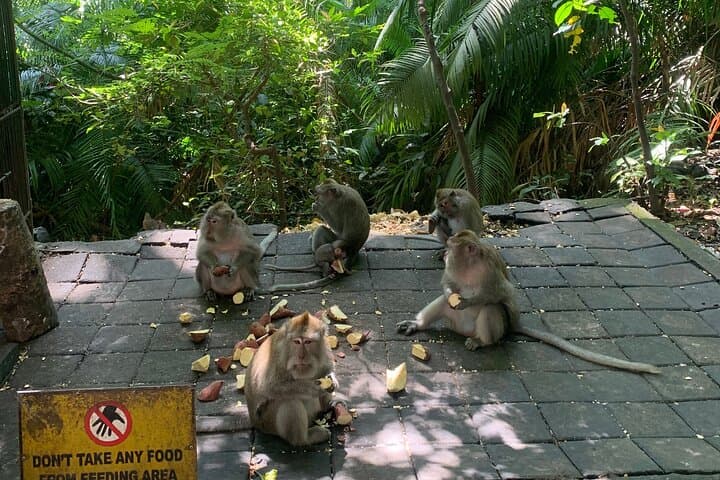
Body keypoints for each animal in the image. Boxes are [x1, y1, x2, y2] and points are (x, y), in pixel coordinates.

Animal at [245, 311, 337, 446]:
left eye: (308, 342)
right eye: (297, 341)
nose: (301, 356)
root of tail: (255, 424)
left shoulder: (324, 347)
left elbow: (327, 368)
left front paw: (332, 380)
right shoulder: (279, 356)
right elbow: (268, 387)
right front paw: (313, 388)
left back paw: (327, 406)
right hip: (267, 422)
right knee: (290, 400)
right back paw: (305, 439)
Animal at [396, 230, 661, 374]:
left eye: (453, 245)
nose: (446, 252)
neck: (469, 266)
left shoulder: (489, 269)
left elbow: (500, 293)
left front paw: (468, 301)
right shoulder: (454, 269)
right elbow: (447, 285)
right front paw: (451, 292)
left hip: (499, 327)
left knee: (493, 310)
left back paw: (482, 342)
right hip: (456, 322)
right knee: (442, 302)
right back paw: (418, 324)